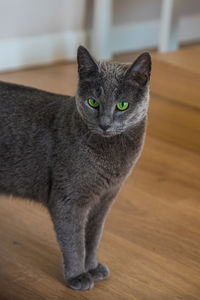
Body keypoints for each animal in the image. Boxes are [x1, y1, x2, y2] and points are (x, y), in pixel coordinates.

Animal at [0, 46, 151, 290]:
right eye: (93, 102)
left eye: (122, 105)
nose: (105, 124)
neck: (111, 158)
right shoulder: (68, 201)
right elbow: (74, 241)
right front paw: (77, 276)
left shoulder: (104, 200)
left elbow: (93, 237)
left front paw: (93, 267)